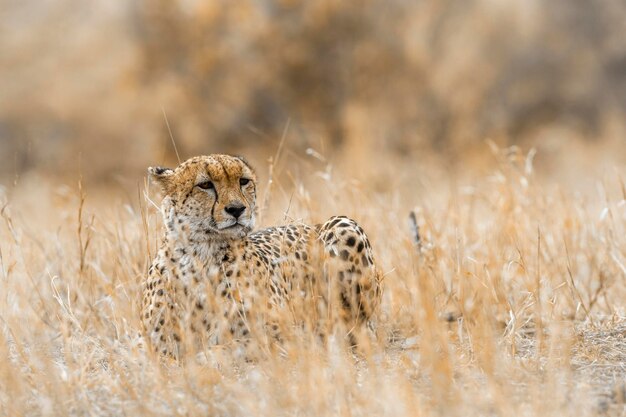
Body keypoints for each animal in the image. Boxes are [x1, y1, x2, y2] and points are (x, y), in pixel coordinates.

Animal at [141, 154, 380, 356]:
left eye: (243, 181)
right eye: (205, 184)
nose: (236, 209)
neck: (202, 254)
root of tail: (312, 225)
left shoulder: (283, 334)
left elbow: (230, 347)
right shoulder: (151, 343)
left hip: (343, 225)